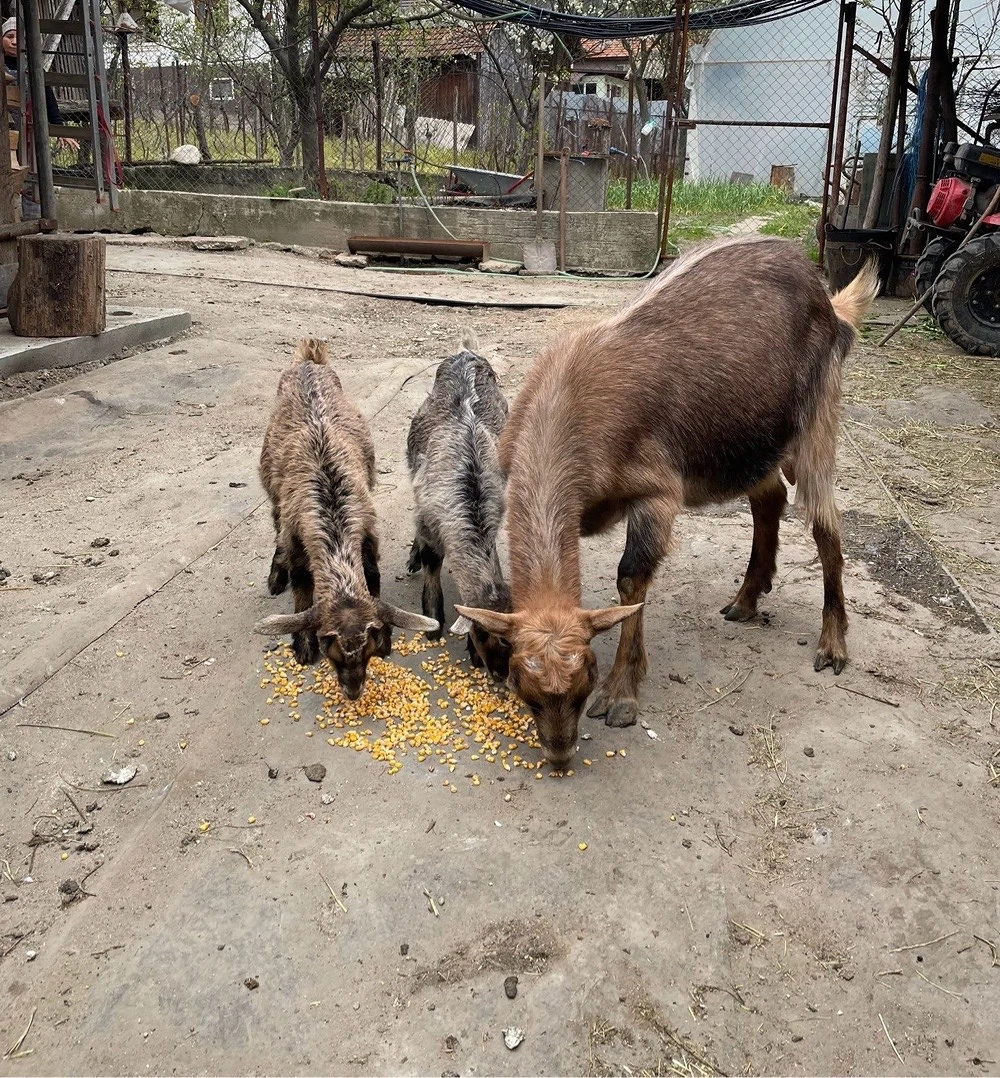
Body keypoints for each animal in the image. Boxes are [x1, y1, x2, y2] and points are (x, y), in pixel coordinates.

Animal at [254, 338, 436, 699]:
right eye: (330, 651)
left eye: (367, 652)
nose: (353, 691)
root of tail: (309, 358)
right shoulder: (297, 538)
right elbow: (302, 586)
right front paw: (302, 646)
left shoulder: (367, 535)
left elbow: (373, 576)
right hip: (271, 485)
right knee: (275, 522)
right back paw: (275, 577)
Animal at [405, 333, 512, 678]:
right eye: (486, 633)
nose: (500, 673)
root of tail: (465, 353)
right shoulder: (429, 519)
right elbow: (431, 561)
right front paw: (432, 621)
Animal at [457, 236, 880, 767]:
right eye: (525, 693)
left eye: (583, 686)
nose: (559, 753)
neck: (566, 411)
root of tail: (831, 304)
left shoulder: (655, 493)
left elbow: (631, 580)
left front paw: (621, 695)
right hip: (752, 441)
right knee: (769, 499)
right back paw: (746, 599)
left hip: (817, 420)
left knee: (826, 524)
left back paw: (832, 644)